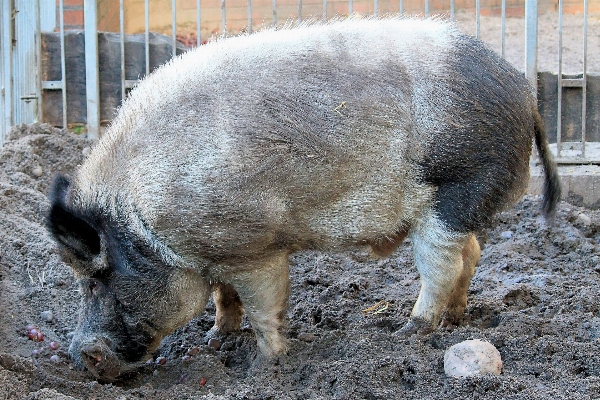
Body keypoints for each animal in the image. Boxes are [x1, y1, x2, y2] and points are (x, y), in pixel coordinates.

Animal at [47, 18, 564, 382]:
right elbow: (222, 296)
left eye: (94, 280)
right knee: (471, 253)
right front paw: (215, 340)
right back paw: (454, 319)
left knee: (443, 264)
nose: (80, 356)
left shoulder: (253, 245)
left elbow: (263, 306)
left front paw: (265, 368)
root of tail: (526, 94)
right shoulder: (219, 249)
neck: (145, 212)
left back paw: (406, 331)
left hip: (454, 190)